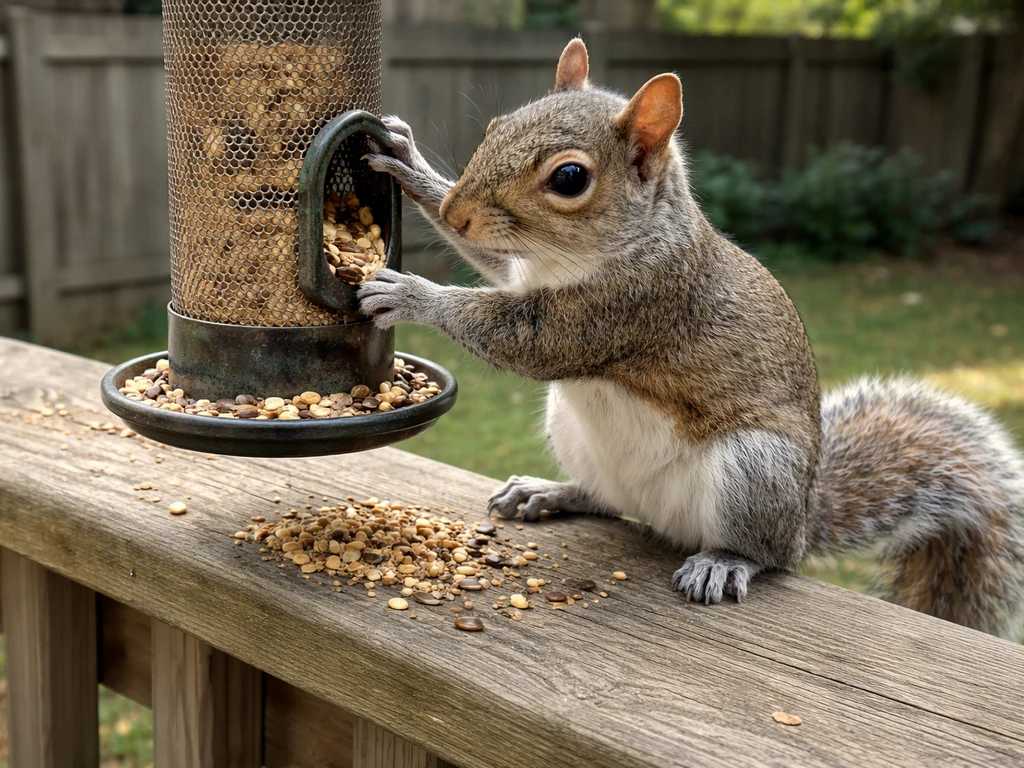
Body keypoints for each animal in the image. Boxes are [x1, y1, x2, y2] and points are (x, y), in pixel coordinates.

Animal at [359, 38, 1024, 640]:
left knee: (762, 552)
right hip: (574, 433)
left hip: (755, 469)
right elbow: (492, 266)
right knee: (606, 498)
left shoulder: (633, 306)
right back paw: (550, 492)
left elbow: (527, 341)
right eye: (497, 126)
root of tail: (801, 523)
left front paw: (411, 293)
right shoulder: (523, 270)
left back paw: (726, 562)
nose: (458, 211)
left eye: (569, 178)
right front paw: (413, 167)